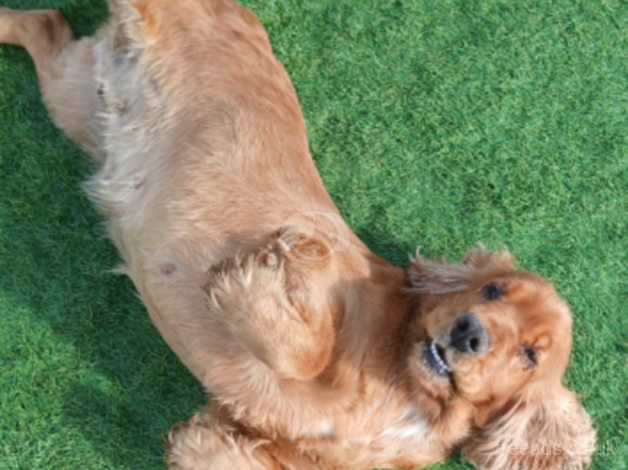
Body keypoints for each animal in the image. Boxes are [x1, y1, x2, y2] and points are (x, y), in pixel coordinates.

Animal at [0, 1, 592, 468]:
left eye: (530, 355)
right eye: (490, 290)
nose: (470, 332)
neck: (407, 391)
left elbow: (234, 451)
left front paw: (196, 443)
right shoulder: (327, 264)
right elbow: (306, 344)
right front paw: (245, 284)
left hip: (71, 93)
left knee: (39, 21)